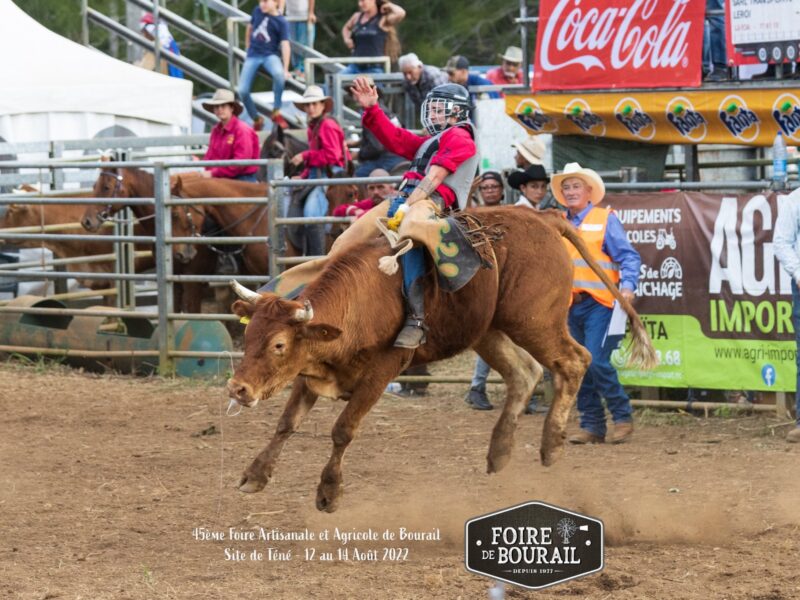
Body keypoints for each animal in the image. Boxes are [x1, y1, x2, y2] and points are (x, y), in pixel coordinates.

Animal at [227, 206, 656, 510]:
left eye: (279, 344)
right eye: (248, 335)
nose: (237, 388)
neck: (357, 306)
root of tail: (543, 217)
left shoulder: (382, 371)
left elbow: (342, 429)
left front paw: (329, 492)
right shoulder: (312, 372)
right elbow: (287, 423)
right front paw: (254, 475)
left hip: (534, 322)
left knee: (574, 361)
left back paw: (552, 445)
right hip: (488, 331)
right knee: (524, 373)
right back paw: (499, 452)